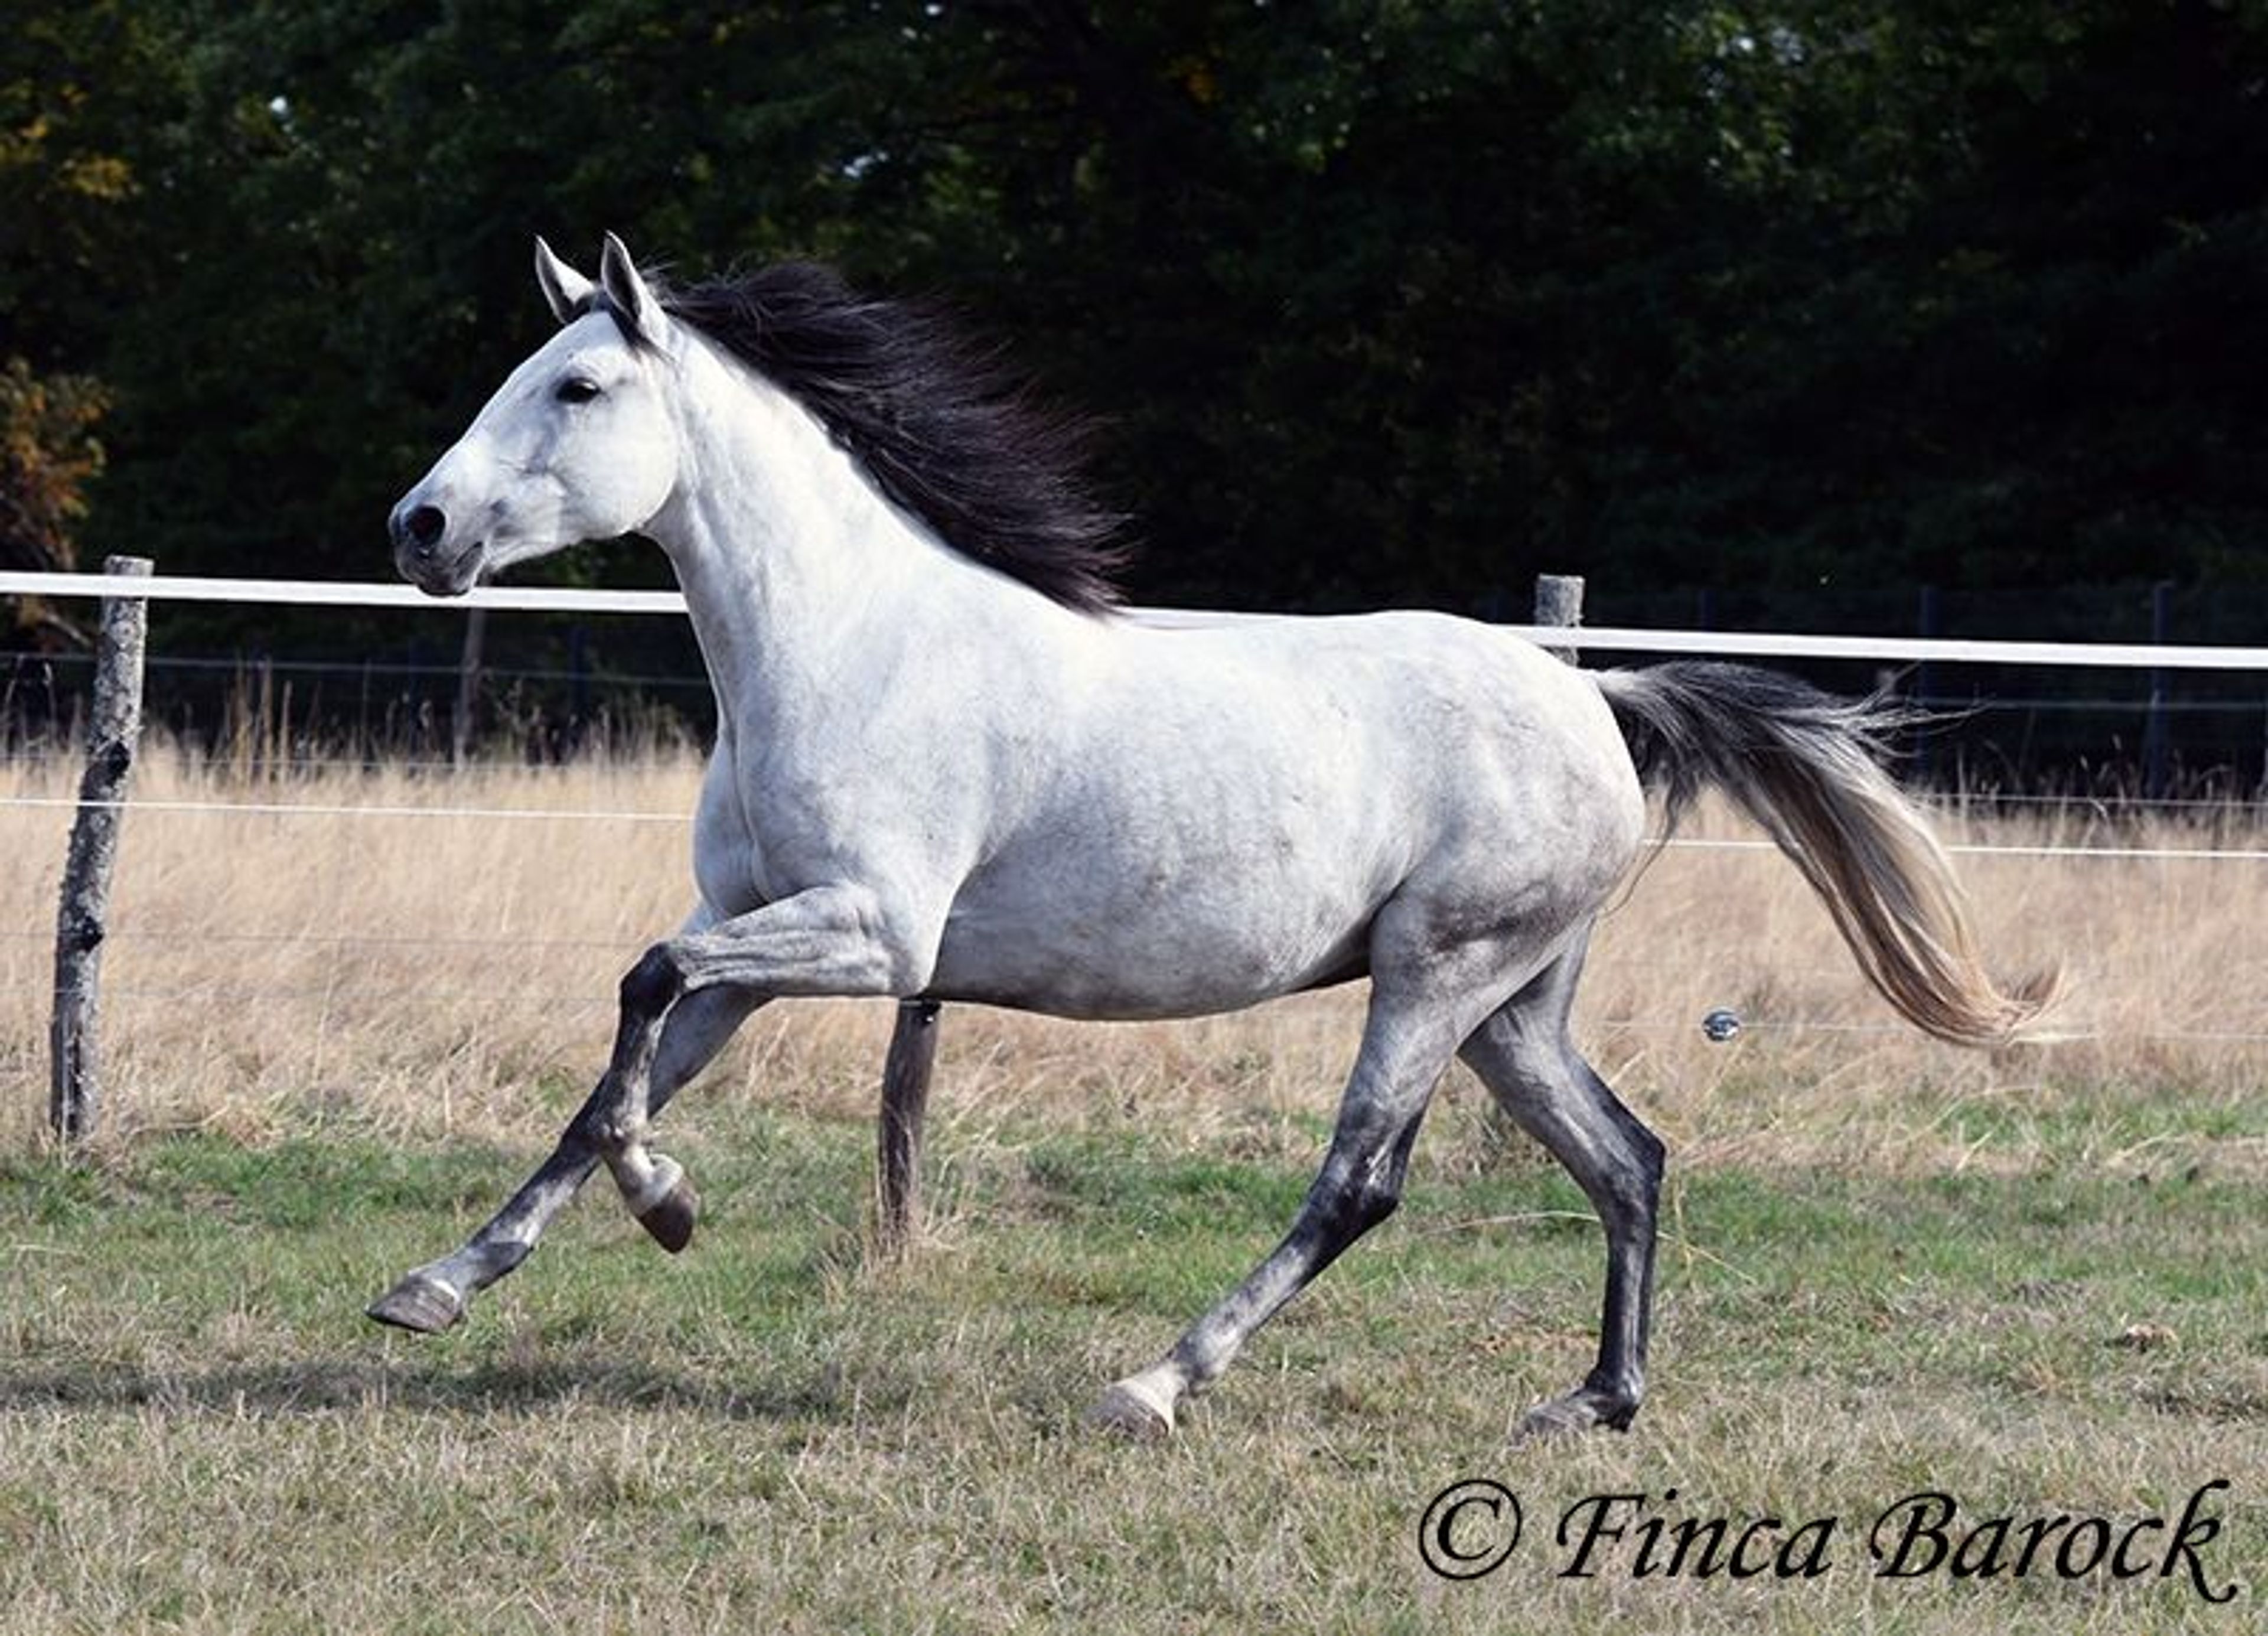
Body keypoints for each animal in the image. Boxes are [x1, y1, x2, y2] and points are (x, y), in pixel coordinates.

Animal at [372, 234, 2053, 1437]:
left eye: (580, 389)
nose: (418, 530)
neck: (847, 645)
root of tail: (1596, 698)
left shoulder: (871, 934)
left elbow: (641, 989)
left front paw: (664, 1208)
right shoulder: (763, 937)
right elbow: (613, 1076)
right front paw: (441, 1284)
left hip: (1437, 973)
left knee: (1362, 1182)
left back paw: (1156, 1381)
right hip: (1514, 1001)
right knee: (1627, 1157)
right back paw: (1593, 1402)